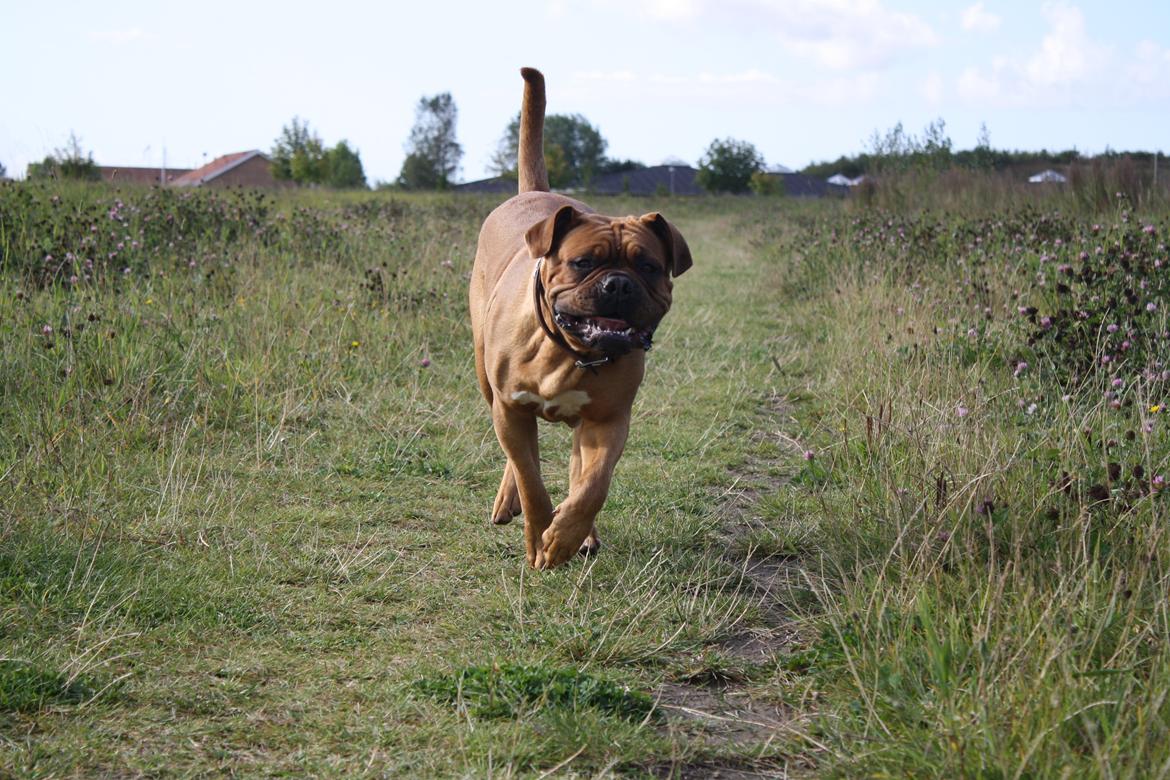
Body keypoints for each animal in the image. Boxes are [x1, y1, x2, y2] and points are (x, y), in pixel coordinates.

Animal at [467, 68, 687, 568]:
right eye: (584, 263)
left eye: (648, 267)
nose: (619, 284)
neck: (569, 352)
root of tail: (534, 193)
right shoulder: (511, 408)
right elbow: (531, 479)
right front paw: (538, 536)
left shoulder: (609, 420)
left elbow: (592, 485)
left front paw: (564, 536)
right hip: (487, 381)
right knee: (519, 459)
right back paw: (509, 502)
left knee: (575, 467)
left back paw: (581, 534)